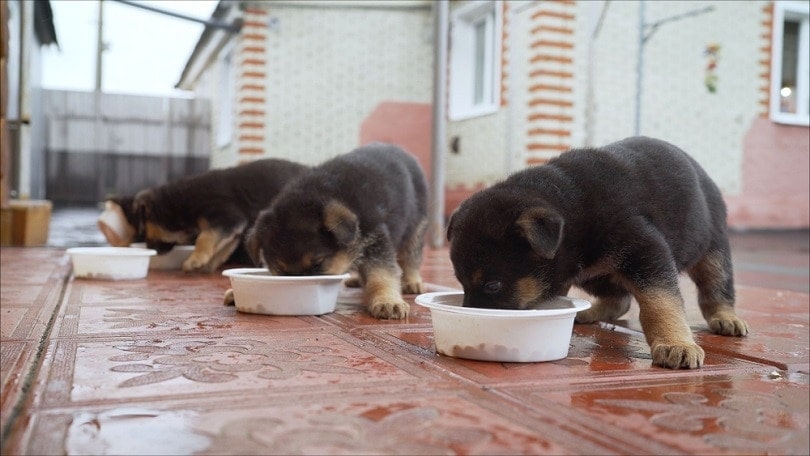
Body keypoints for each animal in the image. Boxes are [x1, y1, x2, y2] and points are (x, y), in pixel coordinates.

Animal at [136, 159, 306, 272]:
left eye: (146, 231)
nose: (150, 248)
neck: (181, 203)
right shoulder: (233, 231)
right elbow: (222, 249)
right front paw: (207, 265)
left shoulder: (226, 219)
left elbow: (204, 238)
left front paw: (195, 259)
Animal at [241, 144, 426, 318]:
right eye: (280, 270)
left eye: (318, 264)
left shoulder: (376, 241)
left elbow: (381, 275)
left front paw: (387, 301)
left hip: (417, 227)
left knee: (410, 257)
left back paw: (412, 281)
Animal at [446, 137, 748, 368]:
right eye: (461, 282)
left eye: (493, 285)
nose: (468, 316)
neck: (571, 209)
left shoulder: (646, 251)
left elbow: (660, 303)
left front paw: (676, 343)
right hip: (594, 274)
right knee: (619, 300)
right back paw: (591, 312)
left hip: (713, 251)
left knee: (716, 288)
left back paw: (726, 318)